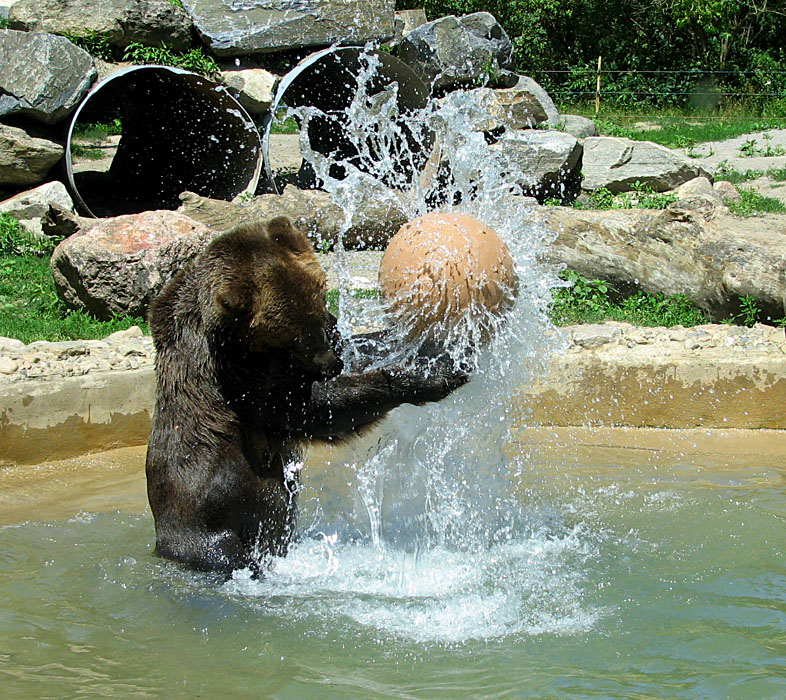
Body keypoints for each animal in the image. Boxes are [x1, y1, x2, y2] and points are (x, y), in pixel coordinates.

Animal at [145, 217, 466, 576]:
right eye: (293, 336)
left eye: (321, 300)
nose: (330, 362)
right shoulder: (240, 382)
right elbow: (311, 410)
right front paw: (429, 376)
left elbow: (358, 353)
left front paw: (438, 345)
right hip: (213, 526)